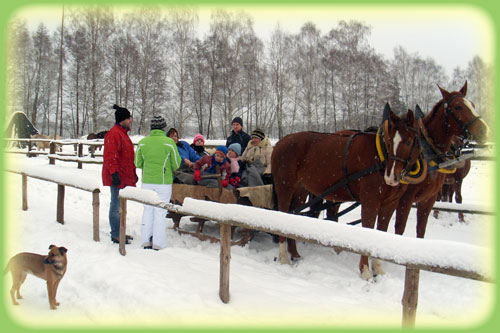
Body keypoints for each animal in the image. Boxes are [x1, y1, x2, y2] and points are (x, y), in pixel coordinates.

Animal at [272, 105, 420, 276]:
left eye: (409, 141)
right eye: (389, 141)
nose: (390, 177)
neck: (379, 156)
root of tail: (280, 142)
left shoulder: (390, 204)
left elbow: (380, 231)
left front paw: (378, 269)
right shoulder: (370, 202)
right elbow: (368, 230)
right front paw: (365, 271)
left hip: (300, 190)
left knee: (292, 216)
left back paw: (294, 253)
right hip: (285, 187)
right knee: (282, 213)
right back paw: (283, 256)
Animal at [378, 82, 488, 240]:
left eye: (472, 104)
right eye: (458, 107)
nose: (483, 130)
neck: (429, 154)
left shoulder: (428, 199)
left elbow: (421, 230)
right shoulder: (405, 199)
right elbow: (399, 229)